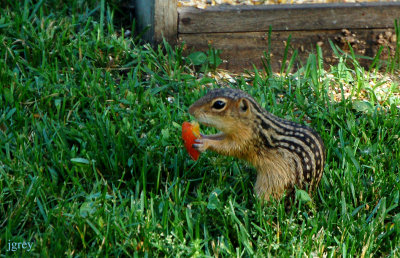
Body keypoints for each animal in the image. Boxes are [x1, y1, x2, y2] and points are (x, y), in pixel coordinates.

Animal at [188, 88, 324, 200]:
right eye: (211, 90)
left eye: (219, 104)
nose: (190, 110)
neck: (253, 123)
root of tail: (312, 191)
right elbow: (219, 137)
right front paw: (202, 136)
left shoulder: (246, 140)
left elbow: (230, 148)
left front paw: (204, 143)